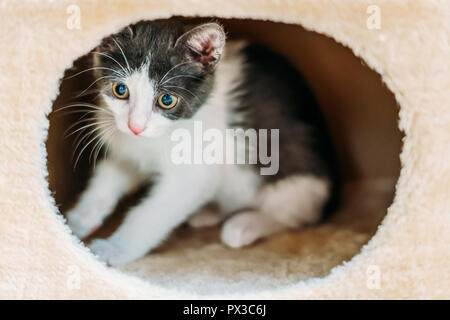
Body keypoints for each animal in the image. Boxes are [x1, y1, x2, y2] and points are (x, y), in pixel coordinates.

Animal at [66, 18, 338, 266]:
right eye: (120, 90)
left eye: (166, 100)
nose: (136, 126)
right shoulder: (130, 150)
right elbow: (107, 178)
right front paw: (78, 219)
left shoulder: (194, 171)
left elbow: (151, 213)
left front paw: (114, 249)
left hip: (295, 163)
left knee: (298, 214)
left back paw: (245, 225)